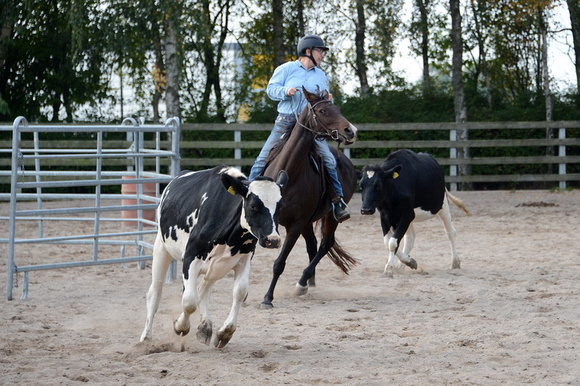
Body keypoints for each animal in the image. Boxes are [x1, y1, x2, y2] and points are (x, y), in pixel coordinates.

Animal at [140, 167, 286, 348]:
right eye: (253, 206)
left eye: (280, 206)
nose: (273, 240)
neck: (230, 236)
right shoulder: (190, 258)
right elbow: (189, 301)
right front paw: (180, 326)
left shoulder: (244, 259)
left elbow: (240, 292)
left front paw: (225, 332)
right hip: (161, 246)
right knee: (155, 292)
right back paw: (146, 337)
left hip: (216, 267)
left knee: (203, 288)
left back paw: (205, 327)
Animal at [262, 87, 358, 308]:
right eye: (322, 110)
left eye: (337, 109)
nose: (350, 131)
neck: (288, 173)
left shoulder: (296, 225)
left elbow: (279, 263)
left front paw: (268, 298)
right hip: (308, 223)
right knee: (313, 244)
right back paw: (309, 282)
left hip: (330, 216)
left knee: (325, 243)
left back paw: (303, 282)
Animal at [360, 149, 468, 278]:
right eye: (361, 186)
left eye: (378, 186)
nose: (365, 209)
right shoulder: (385, 216)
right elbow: (389, 241)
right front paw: (408, 262)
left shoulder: (407, 214)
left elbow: (393, 242)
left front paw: (389, 269)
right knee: (410, 238)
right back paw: (401, 266)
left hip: (442, 205)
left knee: (450, 232)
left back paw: (455, 262)